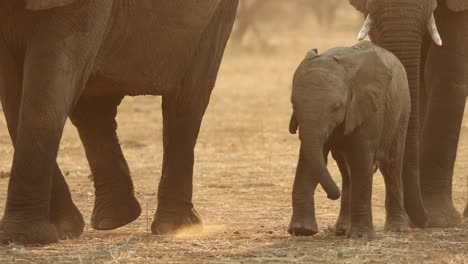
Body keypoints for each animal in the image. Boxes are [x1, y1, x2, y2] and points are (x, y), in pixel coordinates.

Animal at [0, 0, 239, 244]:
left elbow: (46, 86)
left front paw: (24, 237)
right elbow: (13, 95)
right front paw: (61, 230)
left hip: (217, 17)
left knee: (186, 102)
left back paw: (175, 227)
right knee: (92, 110)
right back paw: (112, 220)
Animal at [288, 40, 422, 237]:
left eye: (337, 107)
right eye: (293, 104)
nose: (332, 195)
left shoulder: (369, 108)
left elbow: (361, 158)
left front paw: (361, 237)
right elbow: (308, 159)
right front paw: (301, 230)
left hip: (402, 109)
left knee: (391, 165)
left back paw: (397, 228)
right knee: (346, 171)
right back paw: (342, 229)